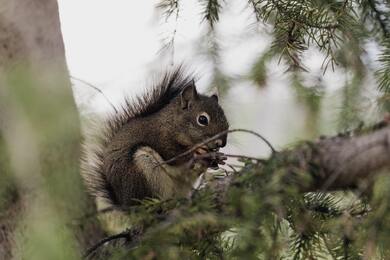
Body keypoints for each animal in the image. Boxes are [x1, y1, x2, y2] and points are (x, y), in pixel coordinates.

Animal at [82, 68, 229, 210]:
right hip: (144, 171)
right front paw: (198, 152)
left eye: (225, 118)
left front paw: (217, 157)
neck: (172, 124)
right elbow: (173, 155)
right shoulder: (160, 139)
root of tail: (126, 206)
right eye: (202, 119)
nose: (222, 143)